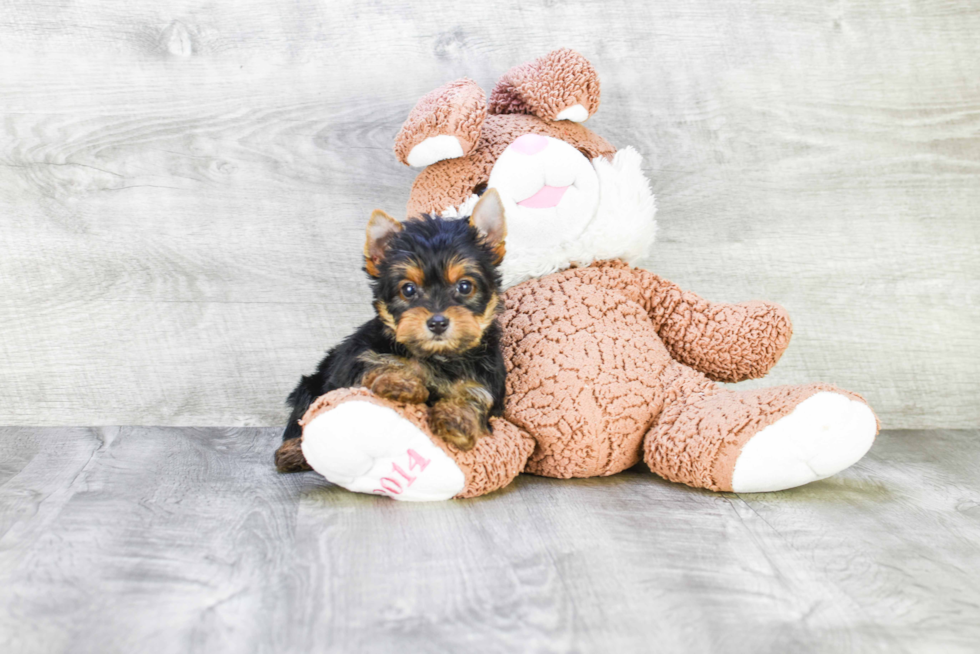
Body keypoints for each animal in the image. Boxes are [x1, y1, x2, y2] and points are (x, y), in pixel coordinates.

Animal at [274, 190, 510, 472]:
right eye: (408, 290)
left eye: (465, 286)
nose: (437, 322)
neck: (438, 357)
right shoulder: (357, 359)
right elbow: (377, 365)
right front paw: (402, 382)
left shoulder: (486, 382)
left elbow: (476, 398)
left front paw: (458, 420)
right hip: (310, 385)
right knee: (301, 417)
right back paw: (291, 453)